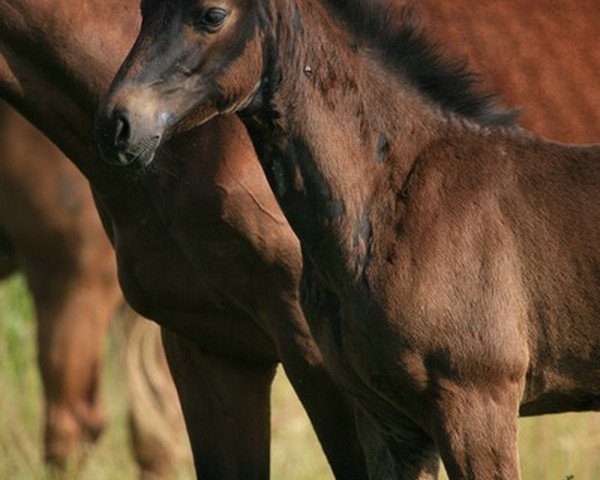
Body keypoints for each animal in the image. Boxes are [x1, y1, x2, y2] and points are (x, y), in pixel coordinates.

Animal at [101, 0, 600, 480]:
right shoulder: (388, 419)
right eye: (144, 9)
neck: (396, 197)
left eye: (213, 15)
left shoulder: (476, 402)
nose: (117, 125)